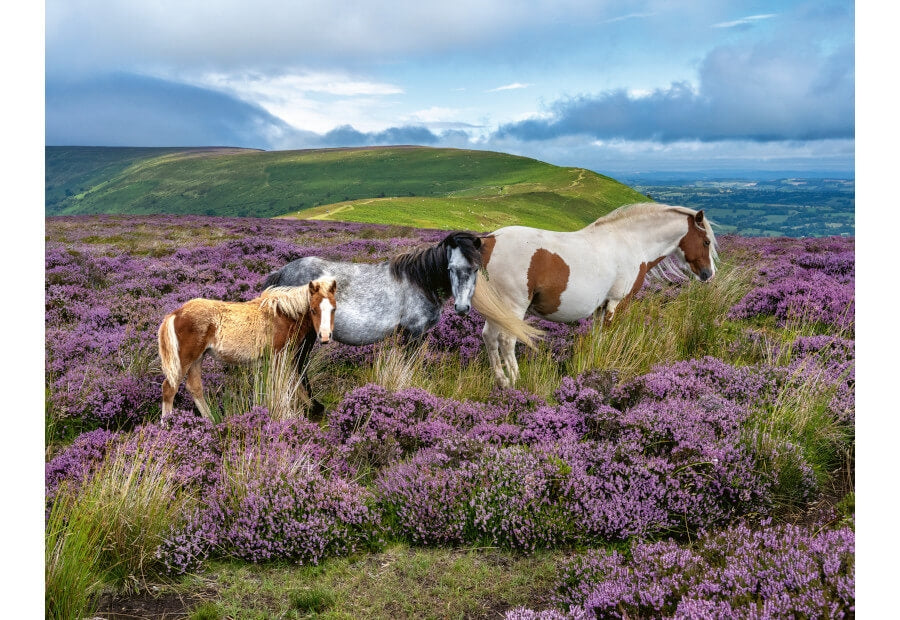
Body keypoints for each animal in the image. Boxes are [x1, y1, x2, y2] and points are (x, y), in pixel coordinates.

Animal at [157, 277, 337, 419]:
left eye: (333, 309)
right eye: (313, 309)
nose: (325, 336)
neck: (284, 315)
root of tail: (175, 313)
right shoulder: (278, 356)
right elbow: (283, 386)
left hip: (198, 358)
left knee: (194, 387)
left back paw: (211, 422)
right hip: (185, 359)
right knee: (169, 388)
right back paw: (167, 425)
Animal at [263, 231, 542, 411]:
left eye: (475, 269)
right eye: (450, 268)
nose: (462, 308)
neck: (421, 281)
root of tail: (281, 272)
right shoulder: (413, 332)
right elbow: (408, 367)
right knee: (298, 364)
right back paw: (313, 406)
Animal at [475, 202, 718, 387]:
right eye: (706, 241)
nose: (709, 274)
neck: (632, 242)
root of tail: (490, 240)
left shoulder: (601, 307)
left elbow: (599, 338)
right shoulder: (617, 302)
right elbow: (609, 335)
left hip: (497, 310)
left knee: (489, 337)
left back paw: (502, 381)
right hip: (513, 307)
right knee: (507, 341)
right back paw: (516, 381)